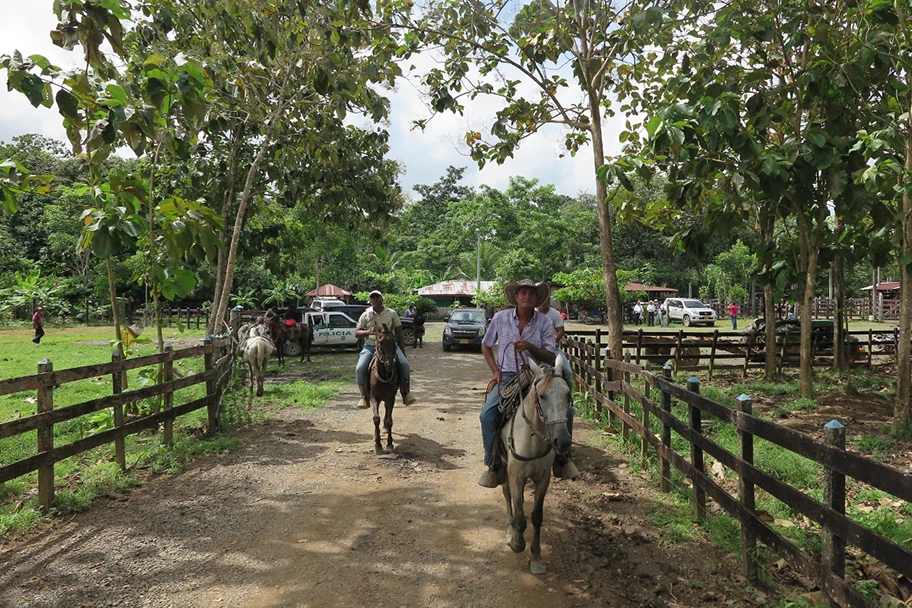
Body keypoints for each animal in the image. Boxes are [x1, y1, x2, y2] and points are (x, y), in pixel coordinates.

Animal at [502, 354, 572, 572]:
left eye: (568, 394)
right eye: (542, 396)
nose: (562, 441)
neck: (532, 439)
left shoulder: (543, 478)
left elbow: (536, 516)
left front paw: (536, 556)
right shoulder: (516, 476)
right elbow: (520, 516)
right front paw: (517, 543)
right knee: (507, 495)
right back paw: (510, 529)